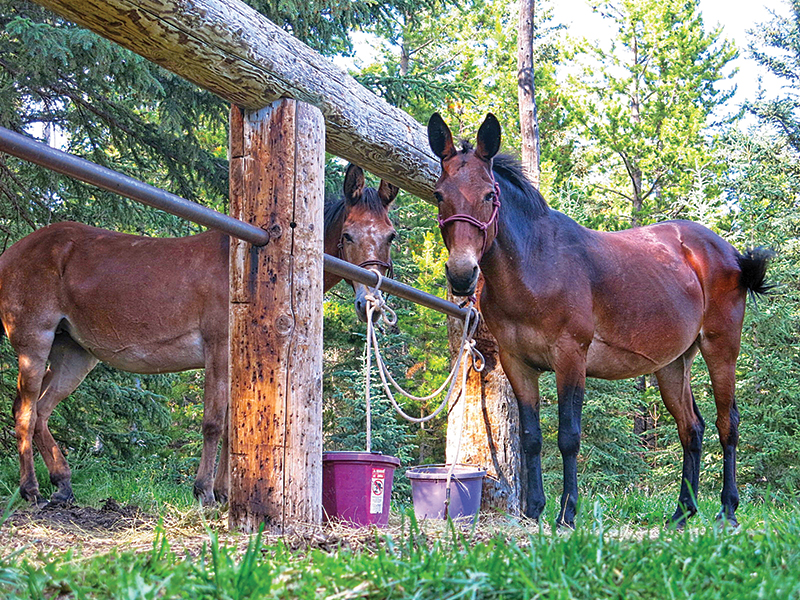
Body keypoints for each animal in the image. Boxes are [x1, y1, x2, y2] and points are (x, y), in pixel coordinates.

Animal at [1, 163, 398, 507]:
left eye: (390, 236)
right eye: (347, 235)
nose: (372, 304)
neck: (244, 270)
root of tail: (12, 252)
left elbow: (232, 426)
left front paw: (223, 492)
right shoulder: (218, 349)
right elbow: (213, 422)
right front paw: (204, 491)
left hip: (74, 353)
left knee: (41, 412)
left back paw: (62, 484)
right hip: (34, 343)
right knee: (25, 412)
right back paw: (31, 489)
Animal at [427, 112, 773, 529]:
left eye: (489, 196)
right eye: (439, 195)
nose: (462, 274)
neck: (535, 265)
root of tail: (729, 254)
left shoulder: (570, 358)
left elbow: (568, 436)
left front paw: (566, 513)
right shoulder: (517, 363)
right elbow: (531, 438)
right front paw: (533, 511)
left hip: (720, 348)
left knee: (728, 424)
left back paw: (727, 509)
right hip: (673, 364)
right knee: (691, 428)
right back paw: (681, 513)